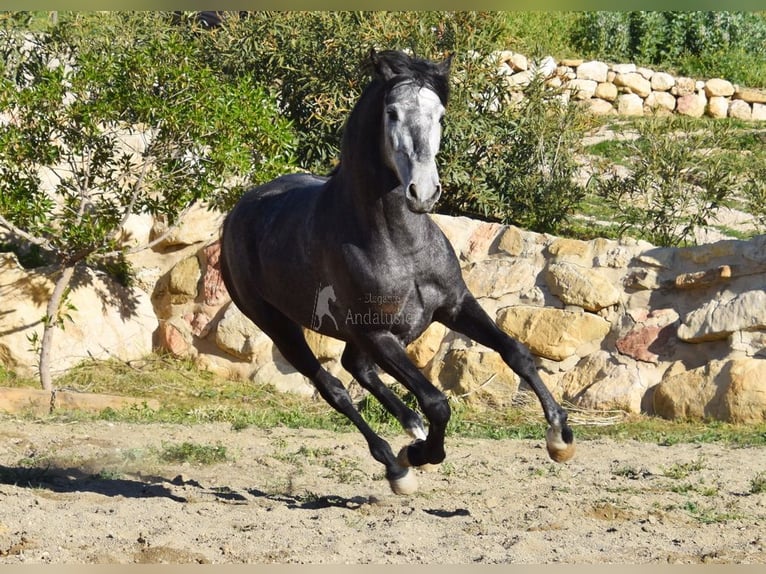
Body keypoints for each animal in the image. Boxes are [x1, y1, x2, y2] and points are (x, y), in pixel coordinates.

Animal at [222, 49, 576, 498]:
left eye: (440, 114)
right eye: (391, 112)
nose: (423, 192)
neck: (400, 245)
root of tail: (238, 212)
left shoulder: (454, 306)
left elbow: (517, 352)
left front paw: (560, 437)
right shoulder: (378, 333)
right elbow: (437, 401)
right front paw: (421, 455)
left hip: (369, 333)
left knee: (357, 368)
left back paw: (411, 427)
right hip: (280, 326)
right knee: (334, 388)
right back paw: (397, 465)